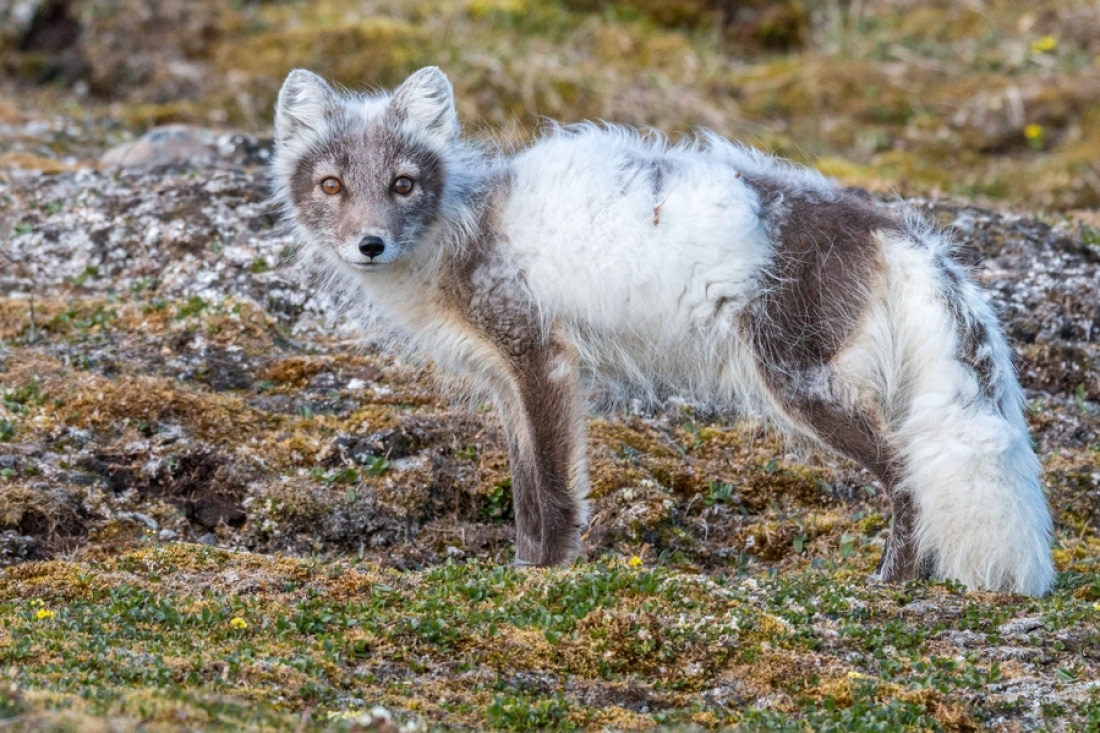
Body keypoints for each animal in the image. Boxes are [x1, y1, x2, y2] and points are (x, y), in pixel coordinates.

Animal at [270, 67, 1051, 594]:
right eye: (332, 185)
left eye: (403, 184)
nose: (369, 244)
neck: (457, 230)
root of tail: (885, 224)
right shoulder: (505, 381)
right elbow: (524, 494)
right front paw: (522, 567)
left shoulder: (544, 362)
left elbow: (555, 496)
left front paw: (543, 577)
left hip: (800, 383)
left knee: (906, 476)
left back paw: (890, 582)